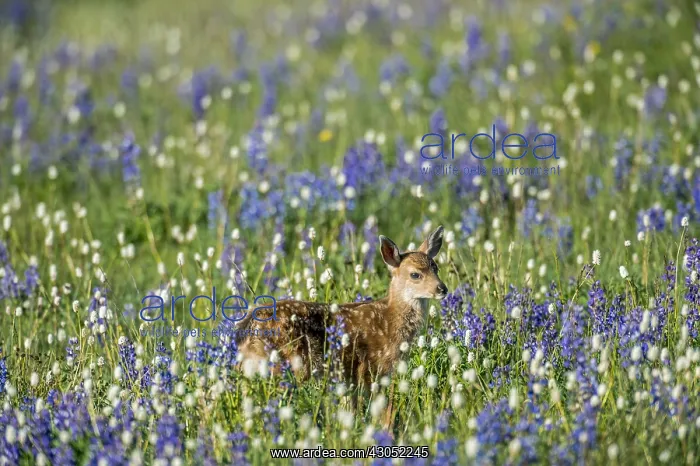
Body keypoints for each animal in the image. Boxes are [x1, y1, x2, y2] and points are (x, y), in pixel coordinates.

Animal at [234, 225, 447, 394]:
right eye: (415, 275)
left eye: (436, 268)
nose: (442, 289)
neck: (391, 318)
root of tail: (248, 326)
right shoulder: (374, 369)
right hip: (287, 362)